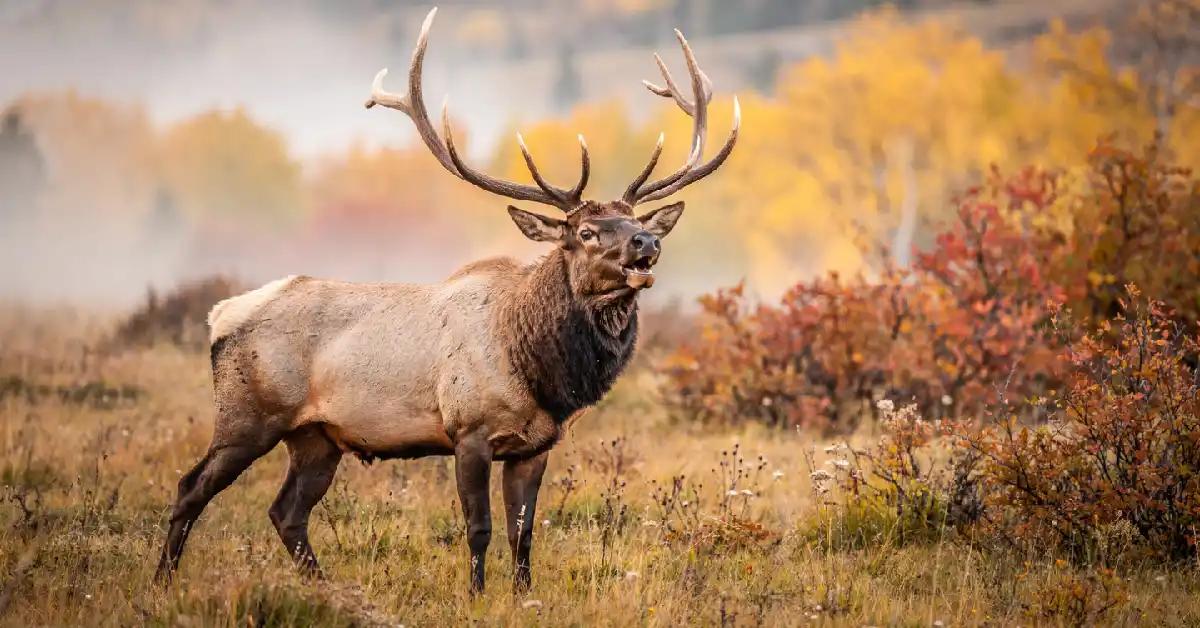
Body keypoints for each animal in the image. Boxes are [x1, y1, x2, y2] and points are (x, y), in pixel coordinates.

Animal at [152, 6, 738, 595]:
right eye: (586, 232)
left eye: (636, 222)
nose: (646, 243)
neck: (539, 371)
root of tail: (219, 317)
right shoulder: (467, 429)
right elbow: (479, 528)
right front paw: (476, 596)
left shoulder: (535, 447)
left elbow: (522, 533)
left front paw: (524, 597)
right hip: (248, 415)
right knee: (190, 487)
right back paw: (162, 580)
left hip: (316, 437)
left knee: (286, 512)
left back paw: (323, 587)